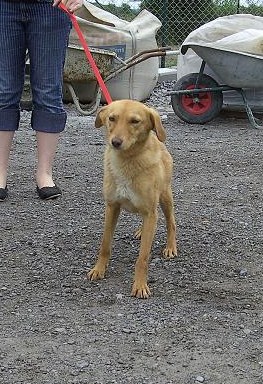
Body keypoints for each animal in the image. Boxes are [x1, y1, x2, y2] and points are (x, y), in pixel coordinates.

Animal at [88, 99, 177, 296]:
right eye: (112, 118)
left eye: (135, 121)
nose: (115, 142)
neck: (127, 161)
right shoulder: (112, 207)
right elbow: (105, 245)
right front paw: (98, 269)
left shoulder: (150, 212)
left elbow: (142, 257)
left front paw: (140, 285)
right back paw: (141, 231)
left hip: (165, 197)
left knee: (171, 223)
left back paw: (170, 247)